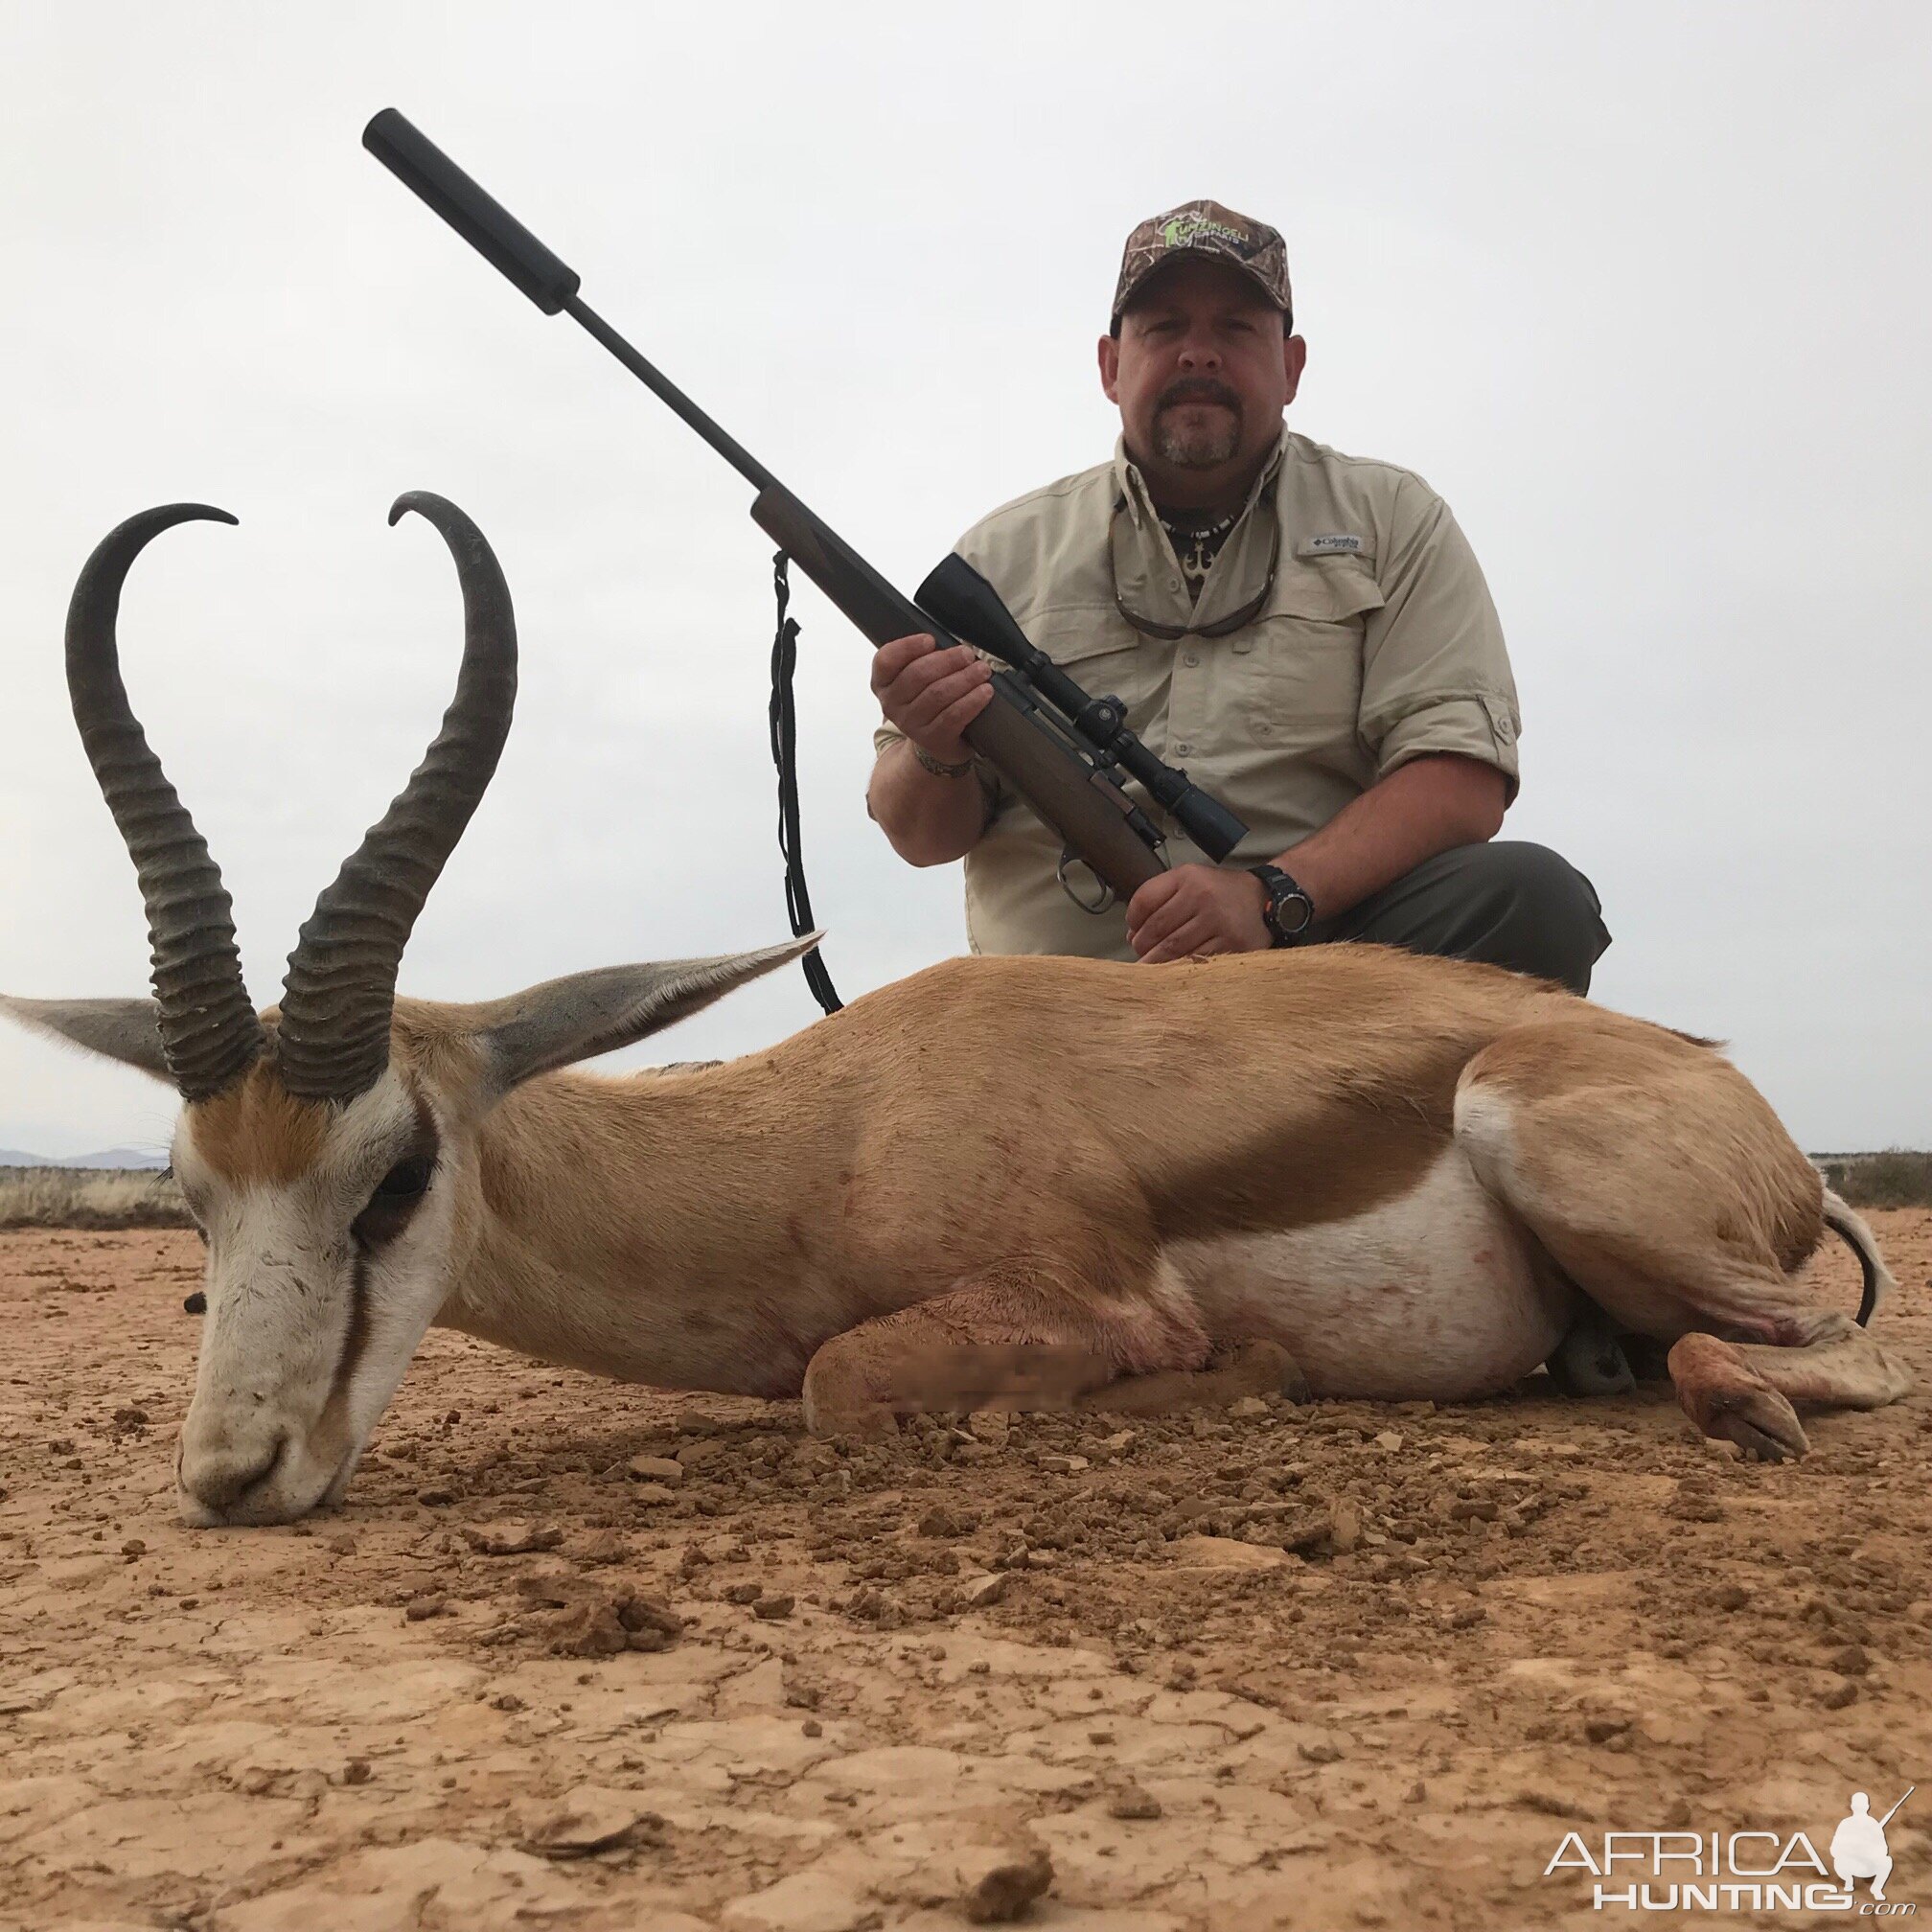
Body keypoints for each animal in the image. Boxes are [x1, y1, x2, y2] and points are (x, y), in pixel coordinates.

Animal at [0, 498, 1908, 1522]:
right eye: (190, 1192)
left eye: (392, 1176)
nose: (231, 1474)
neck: (818, 1134)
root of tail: (1742, 1104)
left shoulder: (1080, 1304)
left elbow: (847, 1380)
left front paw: (1257, 1376)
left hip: (1560, 1150)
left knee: (1850, 1356)